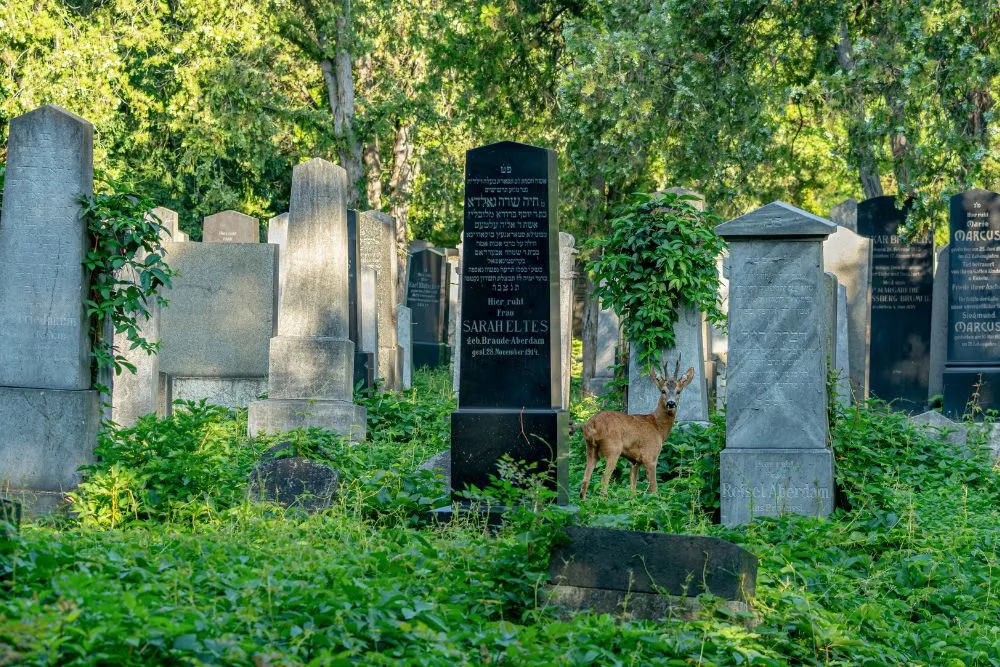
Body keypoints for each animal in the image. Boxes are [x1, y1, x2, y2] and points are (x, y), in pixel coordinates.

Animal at [580, 358, 696, 498]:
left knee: (585, 481)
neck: (657, 427)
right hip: (613, 449)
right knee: (603, 481)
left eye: (679, 391)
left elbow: (632, 489)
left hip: (590, 449)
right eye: (663, 391)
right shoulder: (650, 455)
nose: (671, 403)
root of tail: (592, 424)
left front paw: (632, 499)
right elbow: (654, 489)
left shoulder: (634, 461)